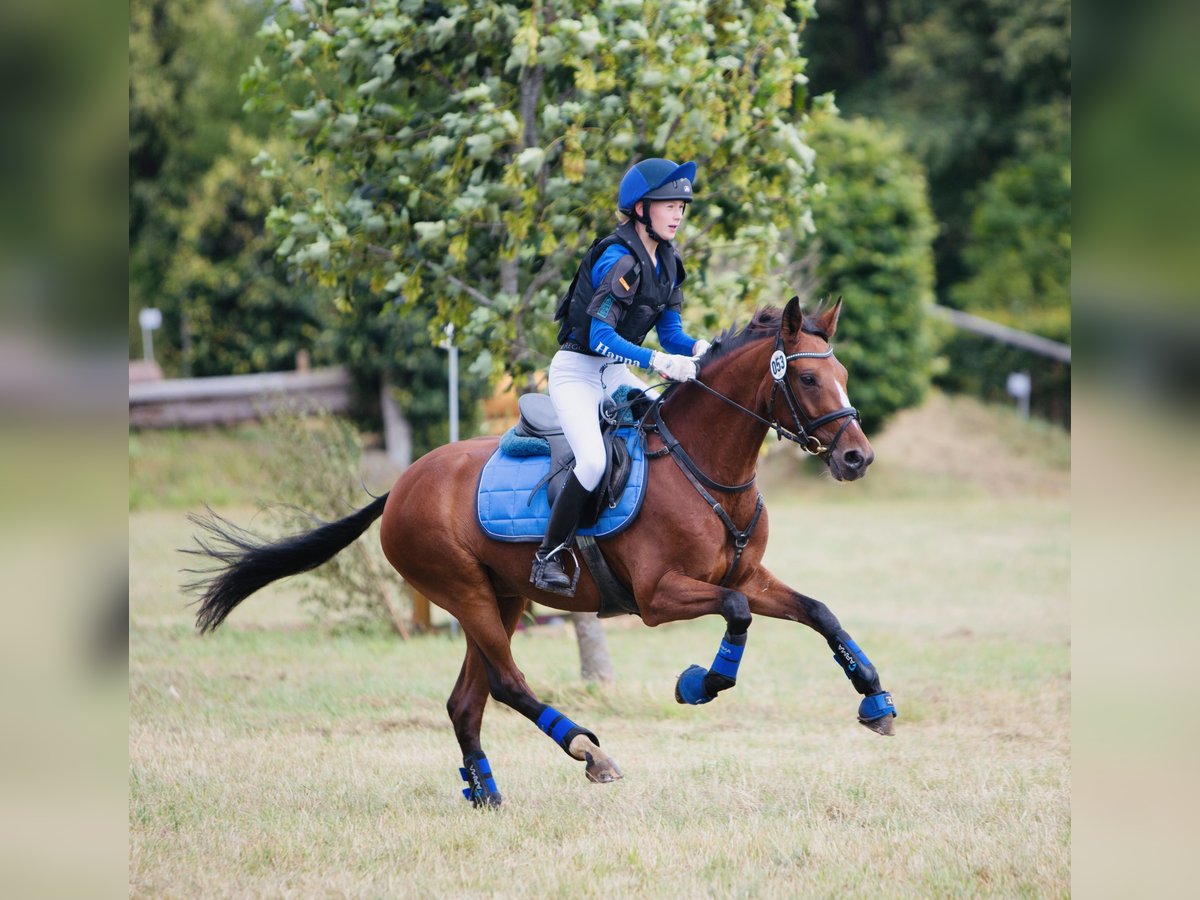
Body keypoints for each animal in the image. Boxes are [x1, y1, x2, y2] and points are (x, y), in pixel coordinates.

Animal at [187, 297, 897, 811]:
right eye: (807, 376)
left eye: (843, 375)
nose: (856, 457)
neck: (705, 468)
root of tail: (402, 486)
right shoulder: (659, 596)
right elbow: (736, 614)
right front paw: (700, 683)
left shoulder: (750, 575)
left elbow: (819, 611)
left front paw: (876, 700)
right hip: (466, 592)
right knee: (506, 683)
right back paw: (588, 751)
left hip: (500, 597)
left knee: (466, 701)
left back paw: (486, 792)